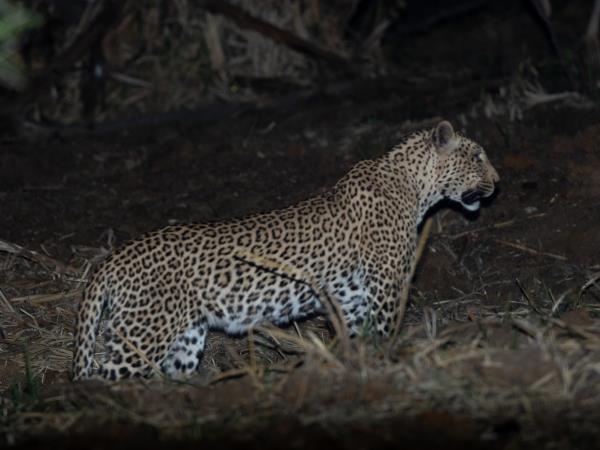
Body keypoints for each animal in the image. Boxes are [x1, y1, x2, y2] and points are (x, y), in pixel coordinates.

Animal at [72, 119, 500, 380]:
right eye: (478, 156)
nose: (498, 181)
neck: (415, 186)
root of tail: (112, 259)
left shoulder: (351, 297)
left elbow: (356, 337)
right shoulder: (385, 287)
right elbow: (384, 332)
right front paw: (386, 365)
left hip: (186, 337)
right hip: (142, 334)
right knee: (102, 377)